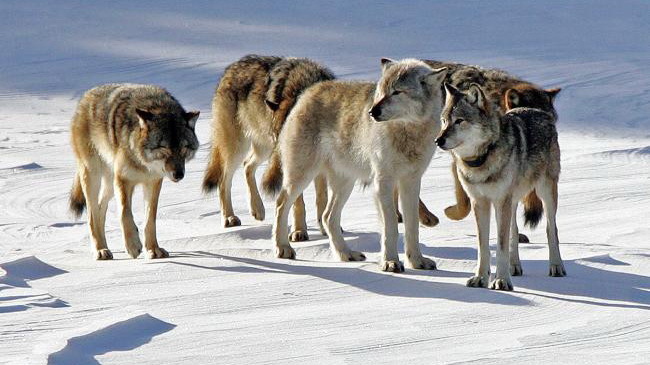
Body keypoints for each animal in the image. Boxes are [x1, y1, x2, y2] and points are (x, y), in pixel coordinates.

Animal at [67, 83, 200, 258]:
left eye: (184, 148)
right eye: (164, 147)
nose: (179, 175)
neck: (143, 163)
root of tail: (87, 96)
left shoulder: (153, 182)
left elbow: (150, 219)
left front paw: (153, 249)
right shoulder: (123, 180)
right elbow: (125, 213)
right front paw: (133, 246)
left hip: (109, 184)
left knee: (101, 208)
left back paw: (105, 247)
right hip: (93, 176)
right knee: (91, 215)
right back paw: (100, 250)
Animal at [201, 54, 334, 242]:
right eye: (281, 137)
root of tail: (229, 69)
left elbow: (322, 197)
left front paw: (325, 229)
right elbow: (298, 203)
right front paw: (299, 231)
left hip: (262, 148)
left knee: (247, 166)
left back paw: (257, 209)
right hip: (239, 148)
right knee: (223, 180)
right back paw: (229, 217)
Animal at [264, 59, 446, 270]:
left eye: (397, 92)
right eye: (381, 92)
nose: (372, 112)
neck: (407, 132)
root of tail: (307, 92)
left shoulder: (411, 182)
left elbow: (412, 226)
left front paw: (416, 261)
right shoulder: (383, 182)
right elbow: (391, 226)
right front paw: (391, 262)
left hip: (345, 183)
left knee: (327, 217)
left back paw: (346, 254)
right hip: (302, 177)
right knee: (280, 205)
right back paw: (283, 248)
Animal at [436, 82, 560, 290]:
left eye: (459, 121)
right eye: (444, 121)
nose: (438, 140)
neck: (482, 159)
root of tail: (537, 110)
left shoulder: (501, 201)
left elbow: (500, 246)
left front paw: (501, 280)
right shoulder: (479, 202)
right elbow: (483, 245)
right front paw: (480, 278)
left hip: (545, 193)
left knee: (552, 230)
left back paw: (557, 267)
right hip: (513, 201)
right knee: (514, 232)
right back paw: (514, 267)